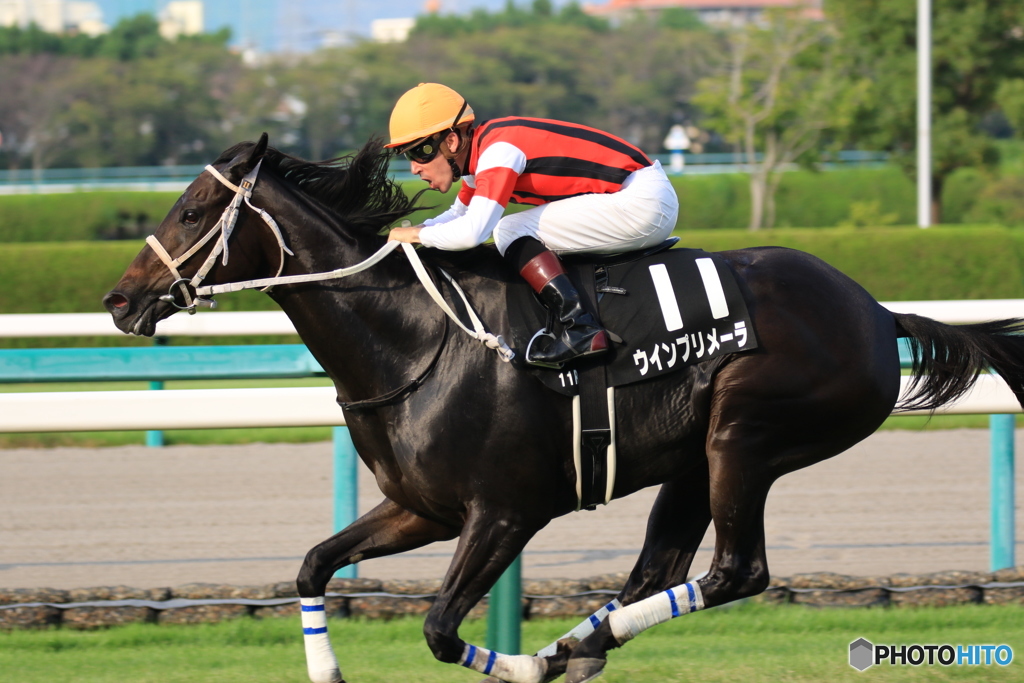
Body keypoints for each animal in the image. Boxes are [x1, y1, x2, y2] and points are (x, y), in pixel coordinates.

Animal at [104, 134, 1024, 683]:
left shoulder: (506, 511)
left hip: (746, 436)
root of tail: (876, 312)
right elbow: (312, 565)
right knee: (658, 568)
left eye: (192, 210)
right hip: (693, 458)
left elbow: (440, 628)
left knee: (737, 570)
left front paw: (519, 663)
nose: (119, 300)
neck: (415, 338)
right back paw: (578, 644)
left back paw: (568, 649)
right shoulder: (422, 508)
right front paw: (328, 669)